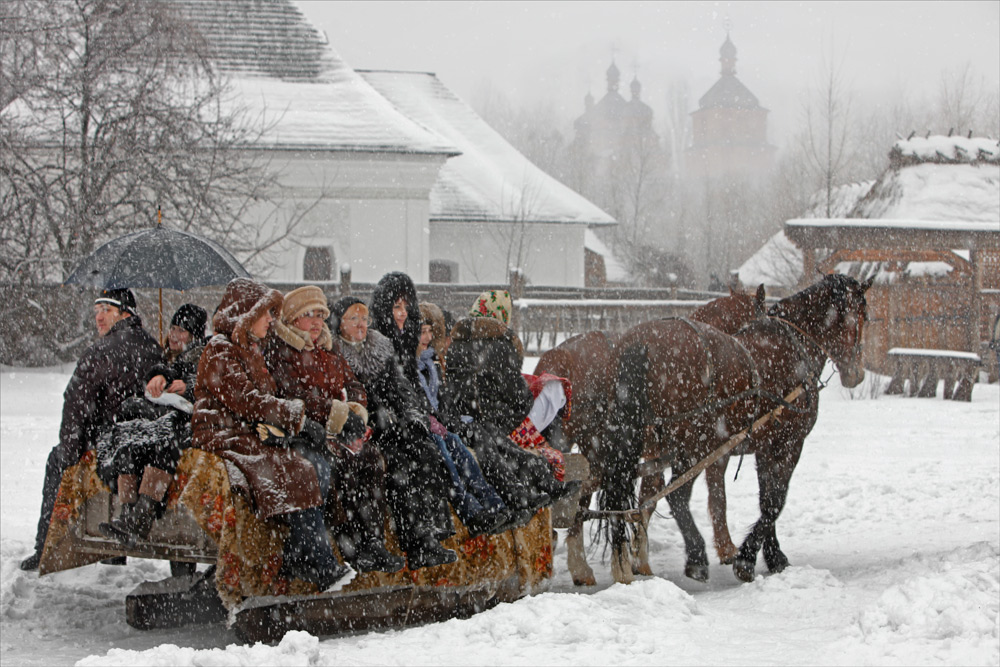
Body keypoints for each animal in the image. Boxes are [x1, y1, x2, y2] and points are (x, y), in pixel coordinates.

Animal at [540, 284, 764, 588]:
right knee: (587, 495)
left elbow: (646, 500)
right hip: (598, 447)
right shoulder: (707, 448)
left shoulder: (656, 455)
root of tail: (559, 357)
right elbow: (711, 497)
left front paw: (638, 557)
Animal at [596, 272, 872, 584]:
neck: (793, 346)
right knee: (675, 497)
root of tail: (641, 343)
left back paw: (626, 562)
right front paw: (746, 557)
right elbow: (774, 501)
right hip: (693, 446)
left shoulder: (764, 447)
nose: (856, 374)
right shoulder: (789, 444)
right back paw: (696, 556)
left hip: (636, 443)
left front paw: (771, 555)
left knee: (627, 498)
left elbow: (764, 499)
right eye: (863, 315)